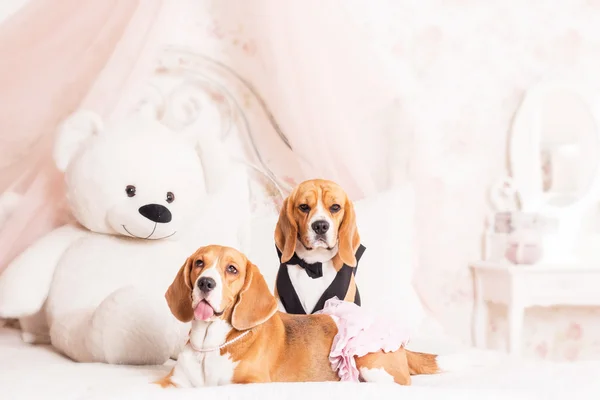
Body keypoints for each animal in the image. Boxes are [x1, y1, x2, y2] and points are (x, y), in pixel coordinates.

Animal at [158, 244, 440, 388]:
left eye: (232, 269)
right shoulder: (172, 384)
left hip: (375, 370)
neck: (210, 345)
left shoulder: (251, 384)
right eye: (199, 263)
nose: (205, 283)